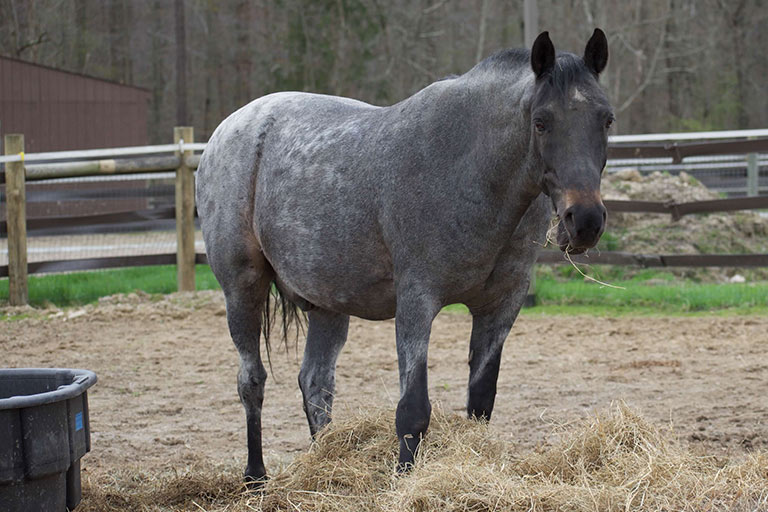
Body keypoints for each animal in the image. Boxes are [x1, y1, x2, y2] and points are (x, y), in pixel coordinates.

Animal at [196, 29, 612, 484]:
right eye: (541, 122)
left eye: (606, 120)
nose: (584, 221)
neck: (469, 169)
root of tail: (231, 128)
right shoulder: (416, 301)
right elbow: (413, 409)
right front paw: (403, 477)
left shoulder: (501, 305)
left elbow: (481, 402)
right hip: (243, 288)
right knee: (252, 381)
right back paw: (255, 476)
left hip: (328, 305)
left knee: (315, 383)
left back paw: (325, 461)